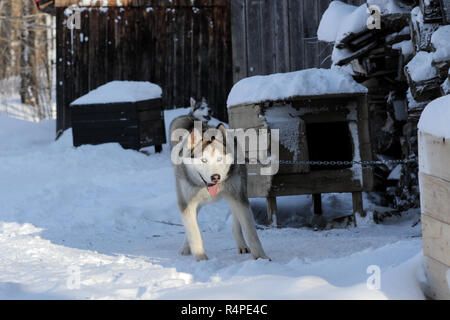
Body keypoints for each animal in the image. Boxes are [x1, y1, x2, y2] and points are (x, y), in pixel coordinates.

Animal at [170, 117, 268, 260]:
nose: (215, 177)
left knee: (236, 219)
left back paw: (241, 244)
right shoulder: (187, 203)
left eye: (219, 159)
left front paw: (262, 257)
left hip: (239, 191)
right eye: (203, 160)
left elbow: (251, 232)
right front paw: (202, 260)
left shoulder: (238, 196)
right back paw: (185, 247)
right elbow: (194, 234)